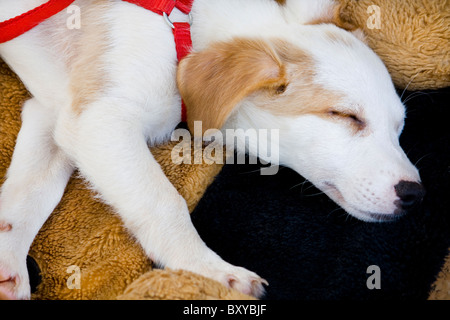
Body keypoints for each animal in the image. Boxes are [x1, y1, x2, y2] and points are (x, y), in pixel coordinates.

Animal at [0, 0, 424, 300]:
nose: (414, 194)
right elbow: (163, 203)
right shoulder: (98, 120)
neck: (182, 34)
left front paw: (8, 266)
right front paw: (208, 272)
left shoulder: (54, 111)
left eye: (399, 127)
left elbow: (29, 193)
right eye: (345, 115)